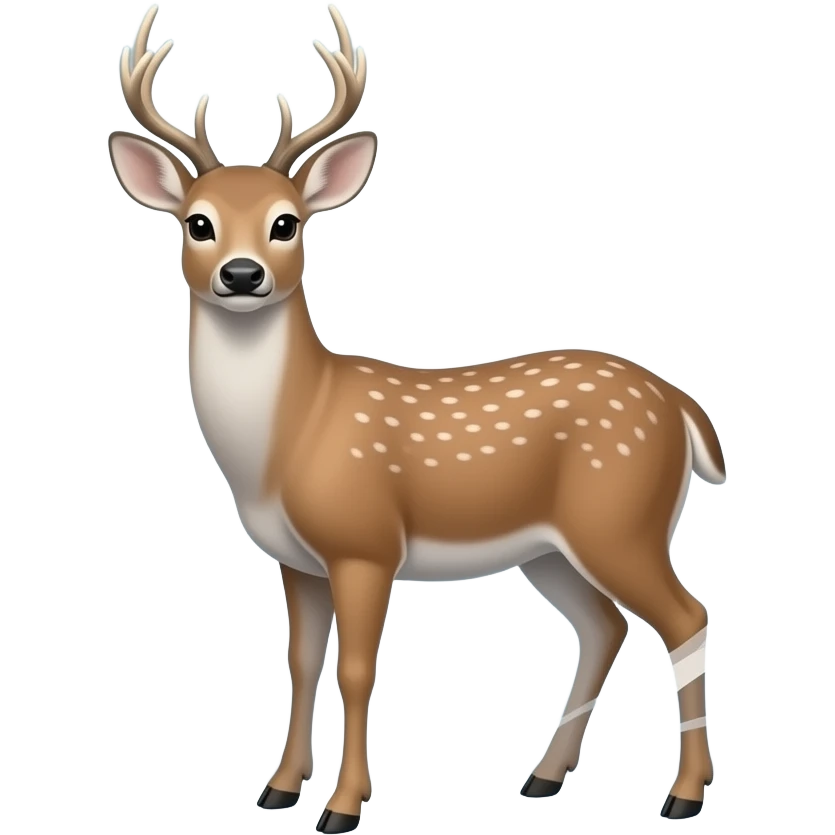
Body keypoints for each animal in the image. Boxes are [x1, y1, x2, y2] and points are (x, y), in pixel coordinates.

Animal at [107, 4, 727, 831]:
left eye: (287, 224)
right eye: (198, 223)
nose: (242, 275)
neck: (290, 435)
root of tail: (682, 406)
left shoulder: (366, 542)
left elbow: (356, 667)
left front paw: (341, 806)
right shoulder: (295, 559)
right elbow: (299, 661)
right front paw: (277, 789)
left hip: (620, 516)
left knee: (686, 617)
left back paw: (682, 795)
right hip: (550, 547)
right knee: (604, 624)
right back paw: (541, 777)